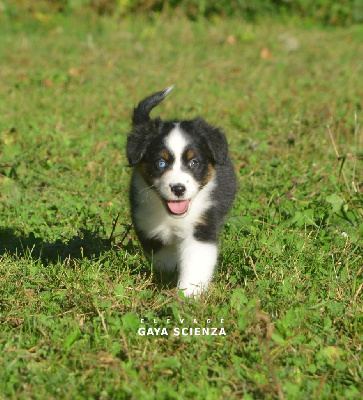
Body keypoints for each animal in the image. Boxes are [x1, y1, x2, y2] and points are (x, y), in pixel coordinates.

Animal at [126, 86, 237, 296]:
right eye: (160, 163)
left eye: (194, 163)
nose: (178, 188)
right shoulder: (147, 224)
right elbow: (163, 256)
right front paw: (169, 275)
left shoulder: (201, 227)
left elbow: (195, 263)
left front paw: (187, 295)